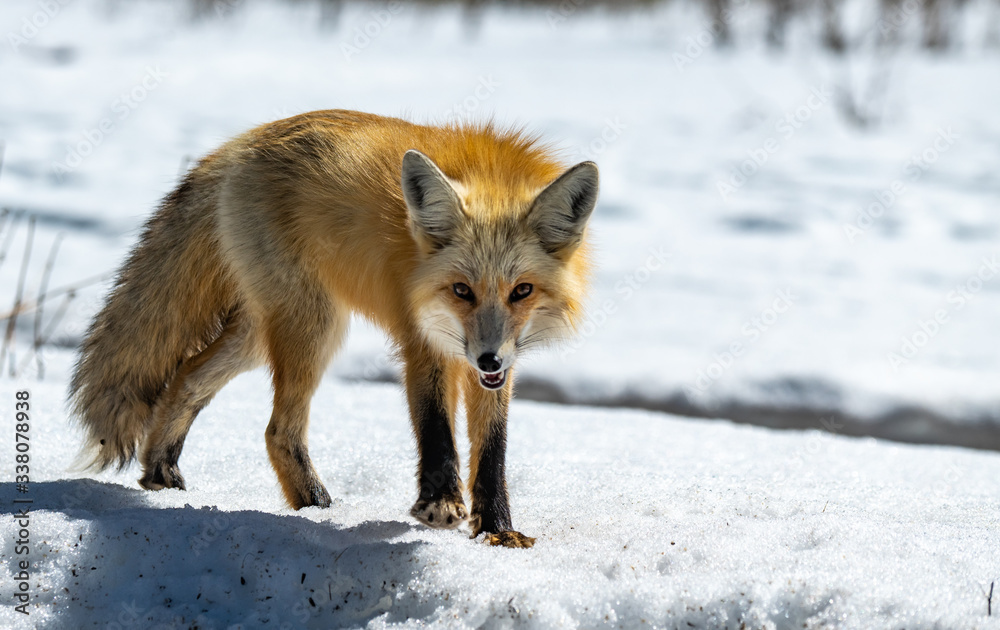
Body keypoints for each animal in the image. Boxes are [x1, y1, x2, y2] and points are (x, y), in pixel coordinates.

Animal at [69, 110, 598, 548]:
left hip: (259, 335)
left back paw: (161, 473)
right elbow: (435, 427)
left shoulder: (496, 364)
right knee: (277, 430)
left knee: (187, 378)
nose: (488, 358)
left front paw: (498, 531)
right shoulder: (421, 339)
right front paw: (440, 505)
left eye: (522, 291)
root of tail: (236, 147)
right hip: (315, 326)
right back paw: (317, 510)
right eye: (461, 290)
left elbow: (493, 448)